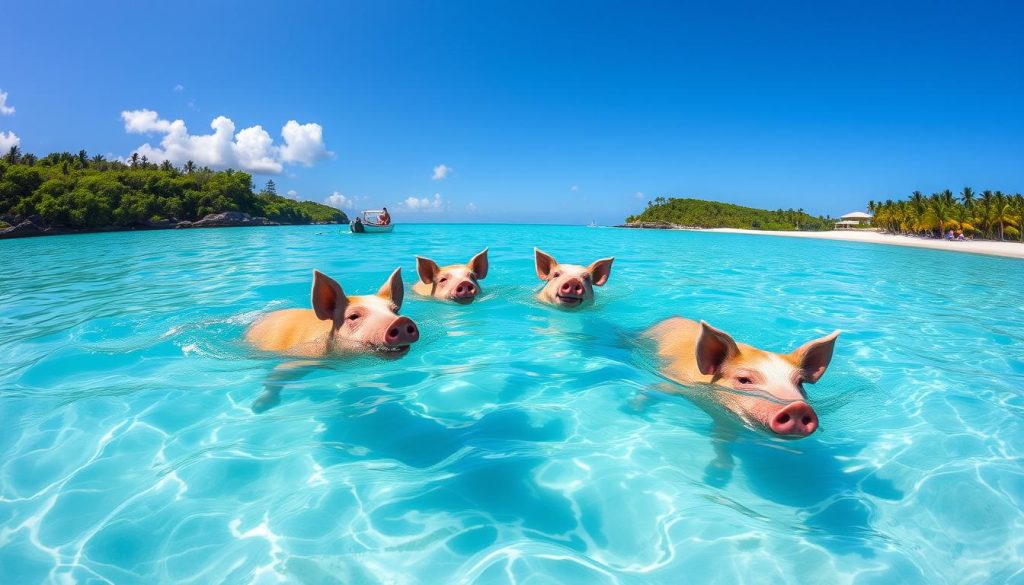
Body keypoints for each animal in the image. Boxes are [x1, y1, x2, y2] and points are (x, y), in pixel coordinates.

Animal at [643, 317, 840, 438]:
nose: (798, 407)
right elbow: (653, 389)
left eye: (800, 383)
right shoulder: (678, 381)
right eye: (744, 380)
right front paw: (637, 408)